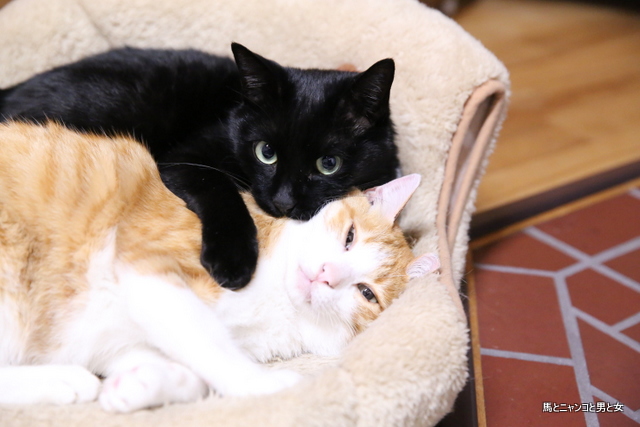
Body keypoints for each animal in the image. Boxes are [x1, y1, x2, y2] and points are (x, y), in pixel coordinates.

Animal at [0, 43, 399, 290]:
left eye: (329, 163)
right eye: (265, 152)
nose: (283, 201)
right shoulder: (184, 158)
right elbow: (220, 189)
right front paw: (233, 260)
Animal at [0, 122, 437, 413]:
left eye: (367, 293)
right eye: (349, 236)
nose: (326, 274)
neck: (279, 303)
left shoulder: (122, 340)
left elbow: (186, 371)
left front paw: (139, 386)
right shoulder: (148, 266)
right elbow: (208, 342)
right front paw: (265, 384)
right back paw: (64, 378)